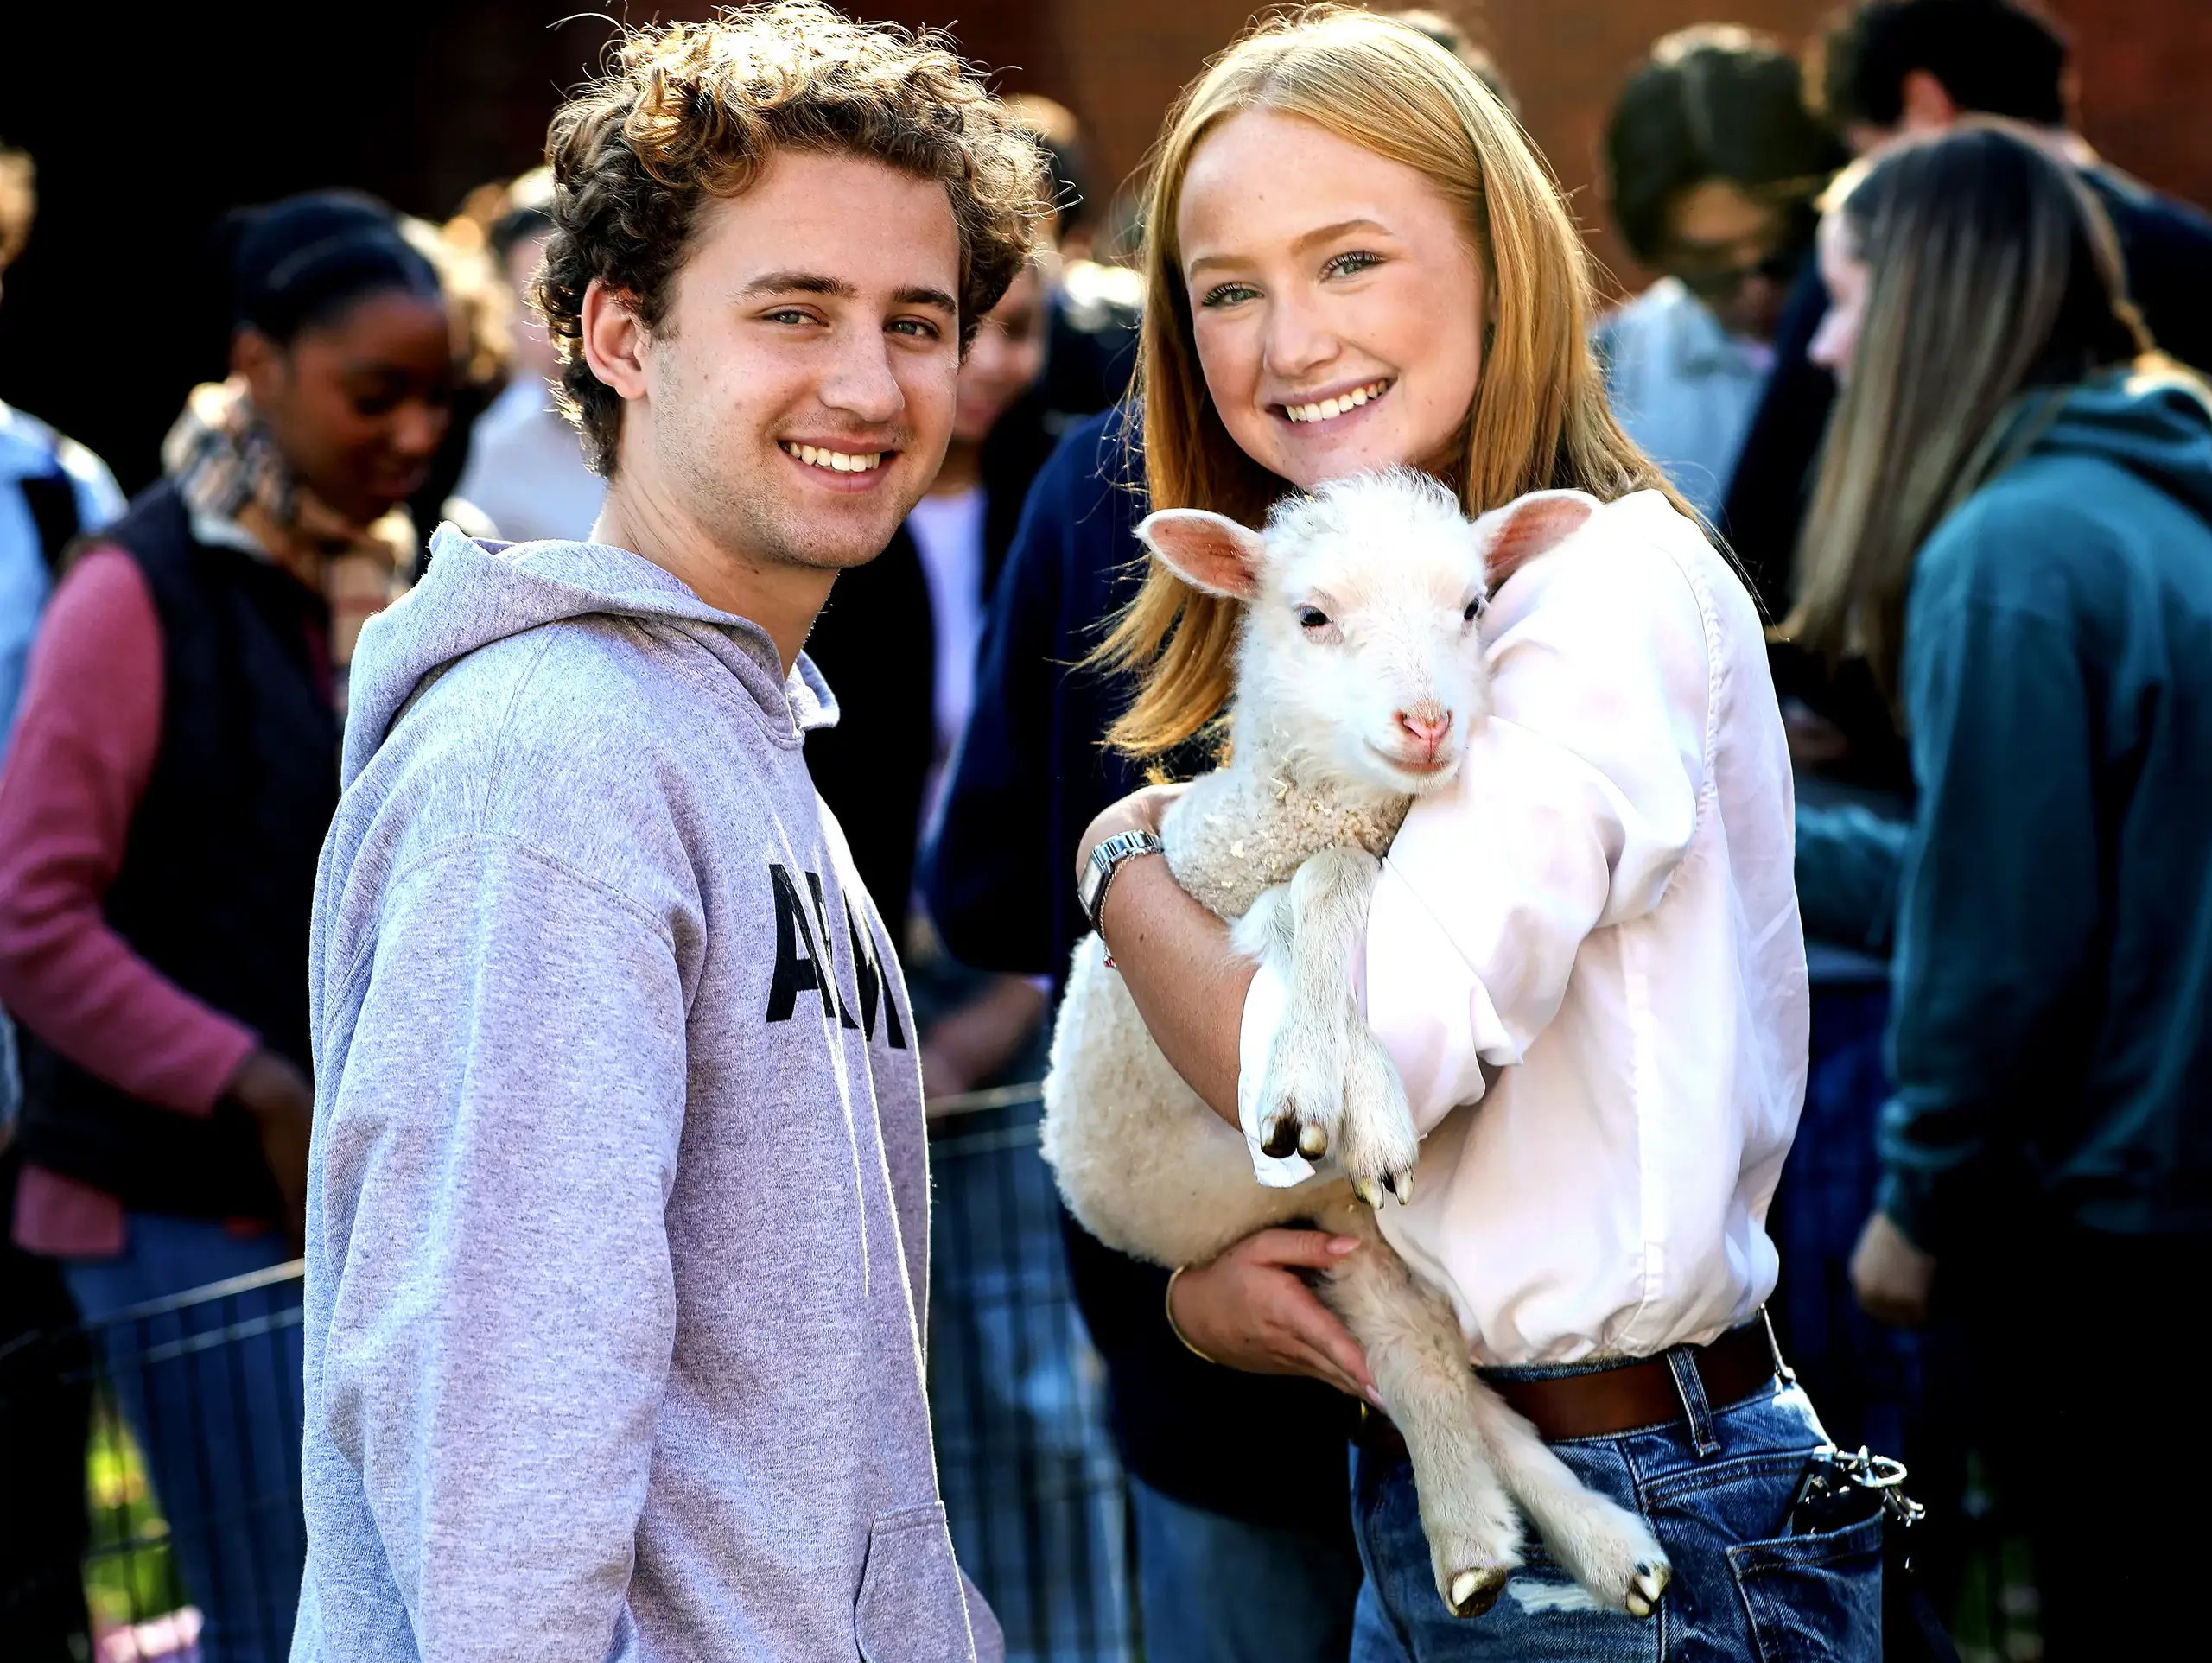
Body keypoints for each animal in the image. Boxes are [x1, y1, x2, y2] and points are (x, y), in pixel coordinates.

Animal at [1044, 471, 1663, 1628]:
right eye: (1312, 616)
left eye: (1472, 607)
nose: (1427, 721)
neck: (1284, 810)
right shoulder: (1220, 902)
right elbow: (1319, 891)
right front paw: (1321, 1087)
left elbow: (1341, 880)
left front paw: (1360, 1097)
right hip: (1330, 1226)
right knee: (1424, 1360)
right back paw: (1494, 1538)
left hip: (1346, 1229)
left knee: (1431, 1360)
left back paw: (1558, 1544)